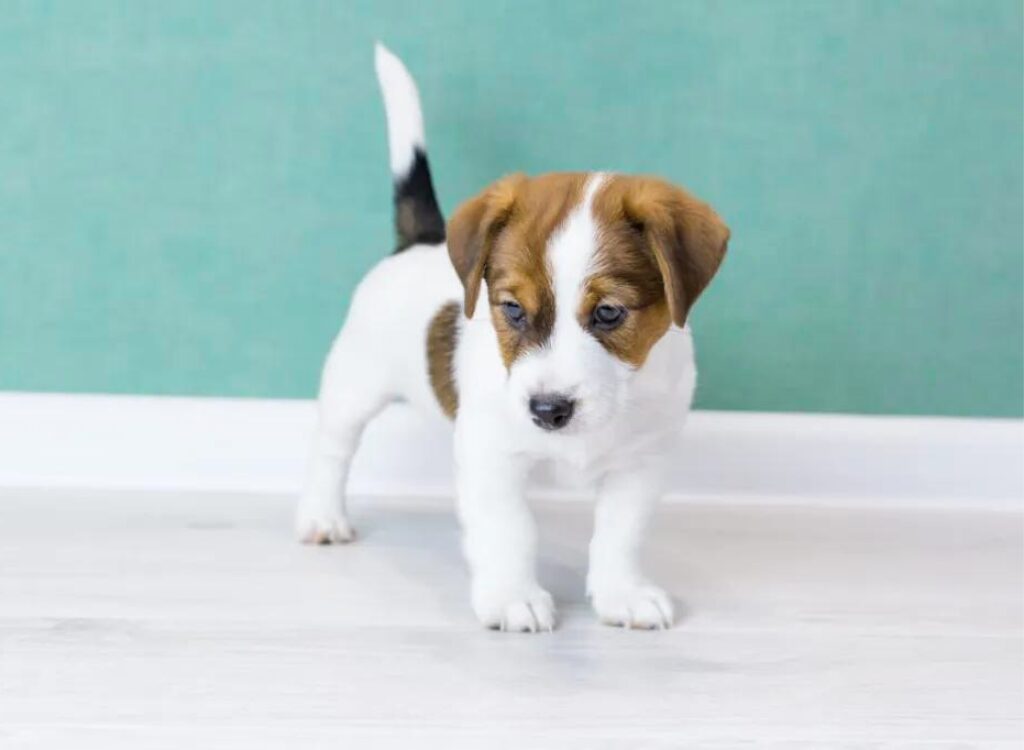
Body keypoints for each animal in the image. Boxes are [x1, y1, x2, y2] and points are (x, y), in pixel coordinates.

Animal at [296, 45, 729, 631]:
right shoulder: (492, 457)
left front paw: (622, 593)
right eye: (513, 310)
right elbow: (509, 530)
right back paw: (322, 514)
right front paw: (511, 596)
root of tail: (421, 240)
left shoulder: (639, 464)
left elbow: (621, 535)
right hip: (353, 386)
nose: (547, 410)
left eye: (609, 312)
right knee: (333, 449)